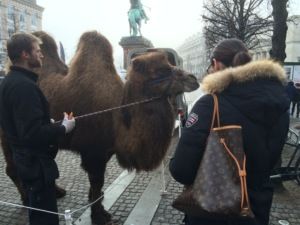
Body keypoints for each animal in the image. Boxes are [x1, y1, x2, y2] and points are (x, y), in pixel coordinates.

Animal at [2, 30, 200, 224]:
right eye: (161, 71)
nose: (194, 78)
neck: (117, 115)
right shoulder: (93, 152)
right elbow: (97, 181)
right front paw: (99, 215)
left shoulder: (107, 150)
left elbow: (97, 186)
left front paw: (97, 204)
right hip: (6, 134)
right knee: (14, 168)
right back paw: (26, 199)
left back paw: (57, 191)